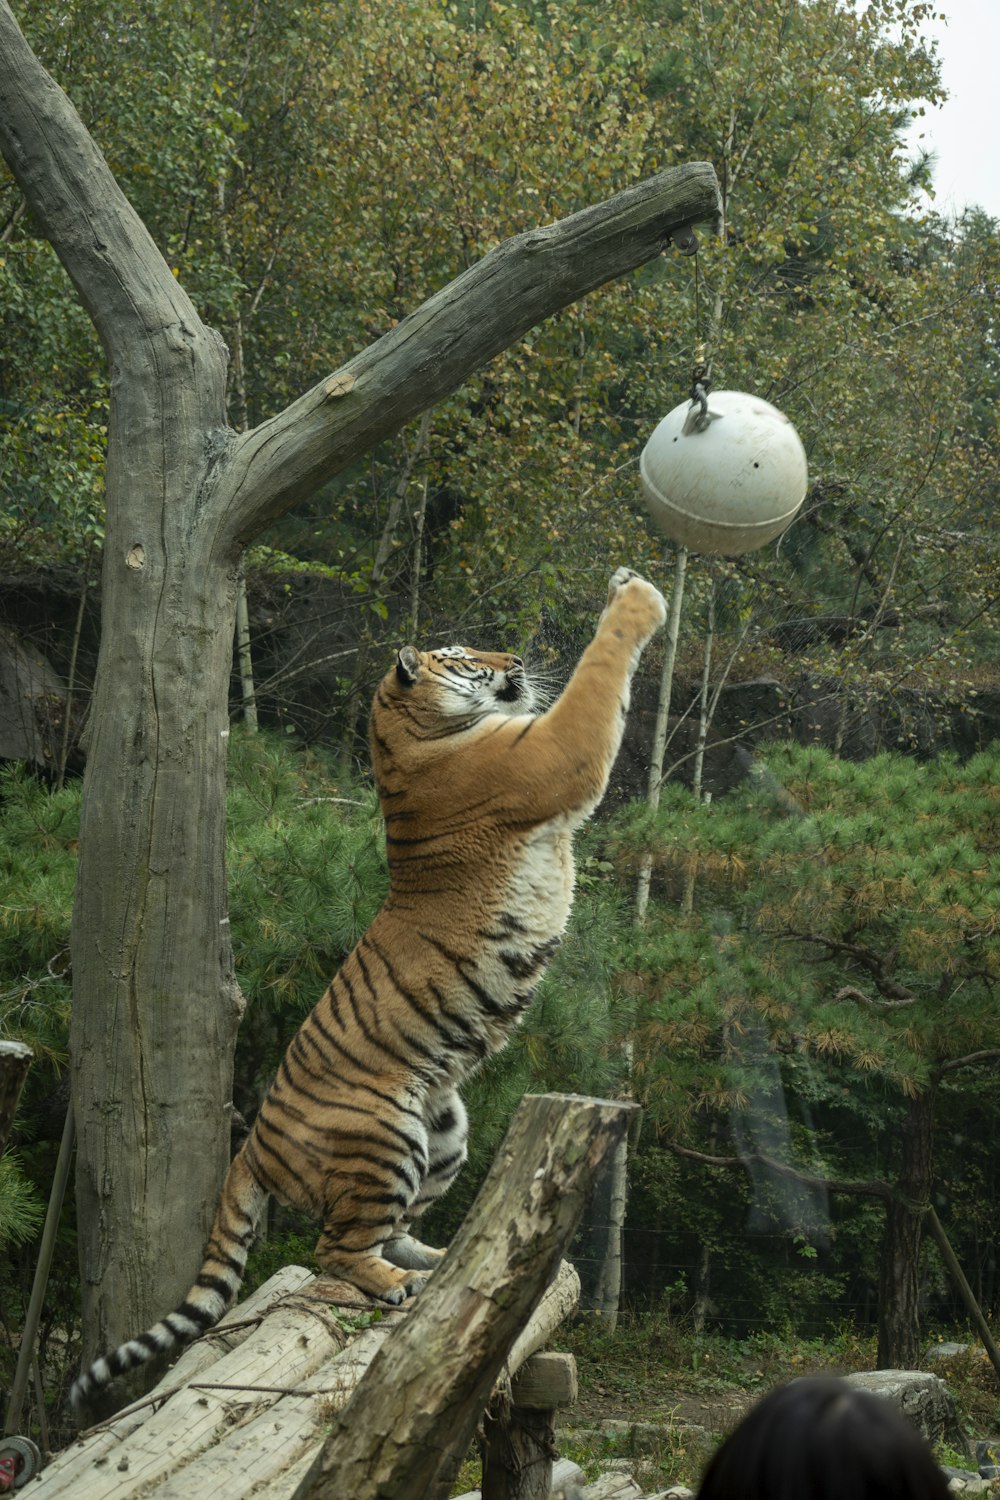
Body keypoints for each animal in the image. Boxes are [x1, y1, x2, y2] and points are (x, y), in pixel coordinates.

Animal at [68, 567, 665, 1410]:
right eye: (466, 658)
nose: (513, 655)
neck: (404, 736)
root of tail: (249, 1146)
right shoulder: (553, 752)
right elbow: (598, 671)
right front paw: (636, 596)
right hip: (383, 1135)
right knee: (333, 1248)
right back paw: (392, 1284)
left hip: (446, 1128)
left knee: (390, 1228)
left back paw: (434, 1259)